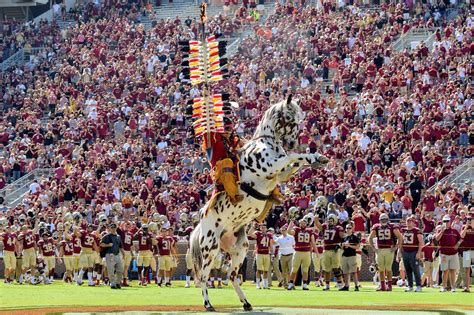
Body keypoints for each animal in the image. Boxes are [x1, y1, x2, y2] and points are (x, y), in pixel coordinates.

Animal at [189, 95, 330, 312]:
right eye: (289, 117)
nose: (292, 142)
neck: (266, 143)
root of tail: (200, 224)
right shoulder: (272, 166)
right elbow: (292, 157)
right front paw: (314, 156)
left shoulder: (281, 174)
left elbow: (296, 162)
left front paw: (317, 157)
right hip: (210, 250)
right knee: (204, 277)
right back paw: (208, 304)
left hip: (240, 249)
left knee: (232, 277)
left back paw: (246, 303)